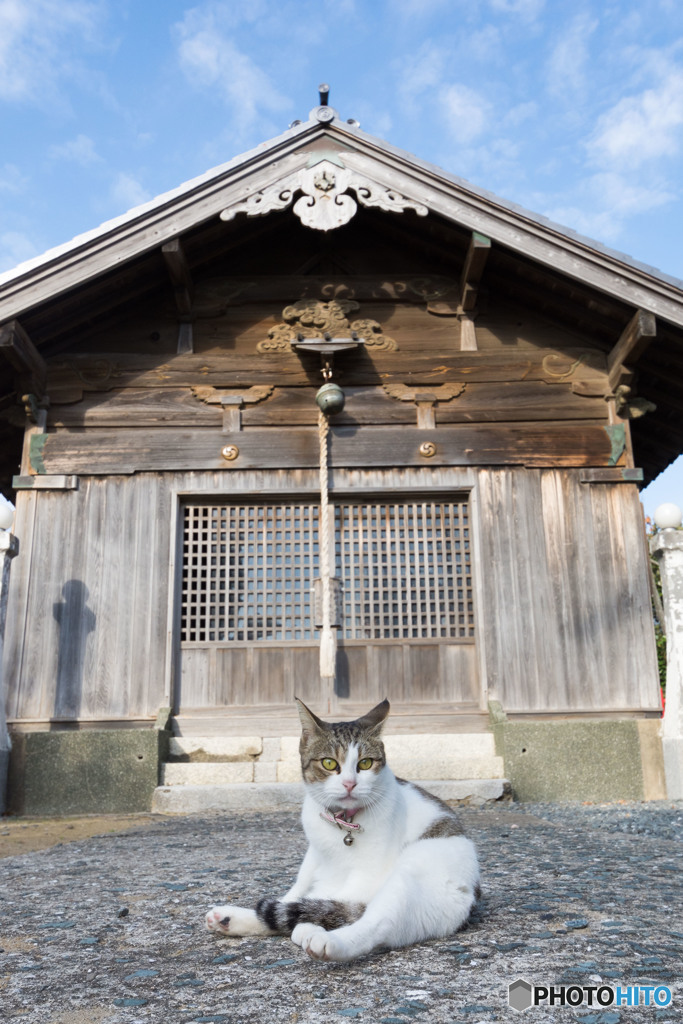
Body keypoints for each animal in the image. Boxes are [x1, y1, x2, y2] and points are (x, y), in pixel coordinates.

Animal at [205, 696, 479, 958]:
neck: (341, 821)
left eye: (365, 764)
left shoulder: (367, 875)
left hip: (408, 880)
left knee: (370, 922)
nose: (349, 783)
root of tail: (474, 892)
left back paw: (325, 939)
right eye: (329, 763)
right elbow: (295, 893)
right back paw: (232, 919)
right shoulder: (313, 857)